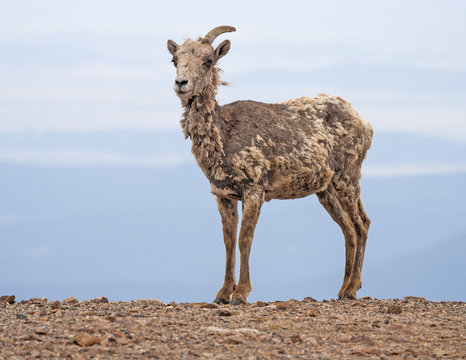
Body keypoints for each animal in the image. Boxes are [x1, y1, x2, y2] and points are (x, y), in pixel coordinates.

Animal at [167, 26, 372, 306]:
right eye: (174, 60)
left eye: (208, 60)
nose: (181, 84)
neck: (224, 136)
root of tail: (365, 124)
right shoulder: (223, 195)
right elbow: (228, 241)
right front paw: (222, 294)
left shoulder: (254, 190)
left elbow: (245, 239)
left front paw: (241, 294)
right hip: (325, 189)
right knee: (348, 229)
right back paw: (341, 290)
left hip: (347, 177)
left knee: (361, 224)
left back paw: (352, 289)